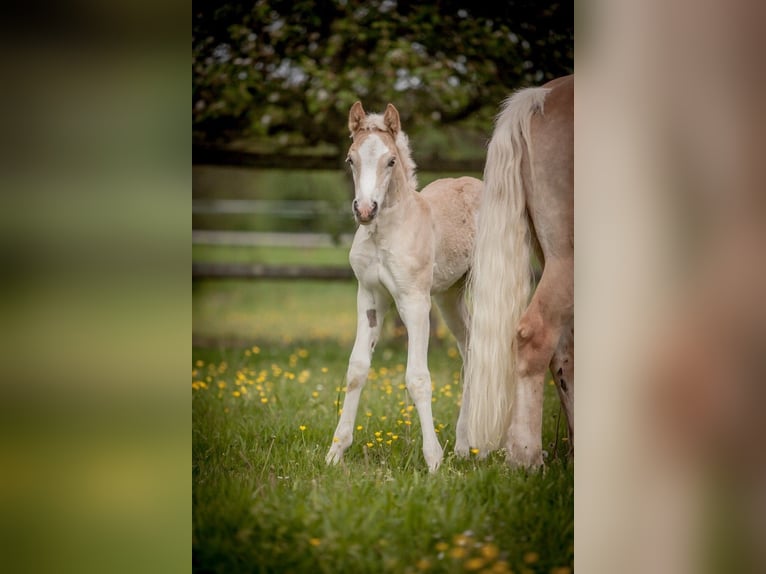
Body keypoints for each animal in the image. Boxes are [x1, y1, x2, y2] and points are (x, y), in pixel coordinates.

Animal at [328, 101, 484, 474]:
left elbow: (417, 377)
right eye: (350, 159)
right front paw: (335, 451)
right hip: (450, 296)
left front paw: (433, 460)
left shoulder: (414, 302)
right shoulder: (369, 297)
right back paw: (464, 445)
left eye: (390, 161)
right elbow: (357, 369)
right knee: (470, 349)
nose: (365, 209)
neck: (385, 232)